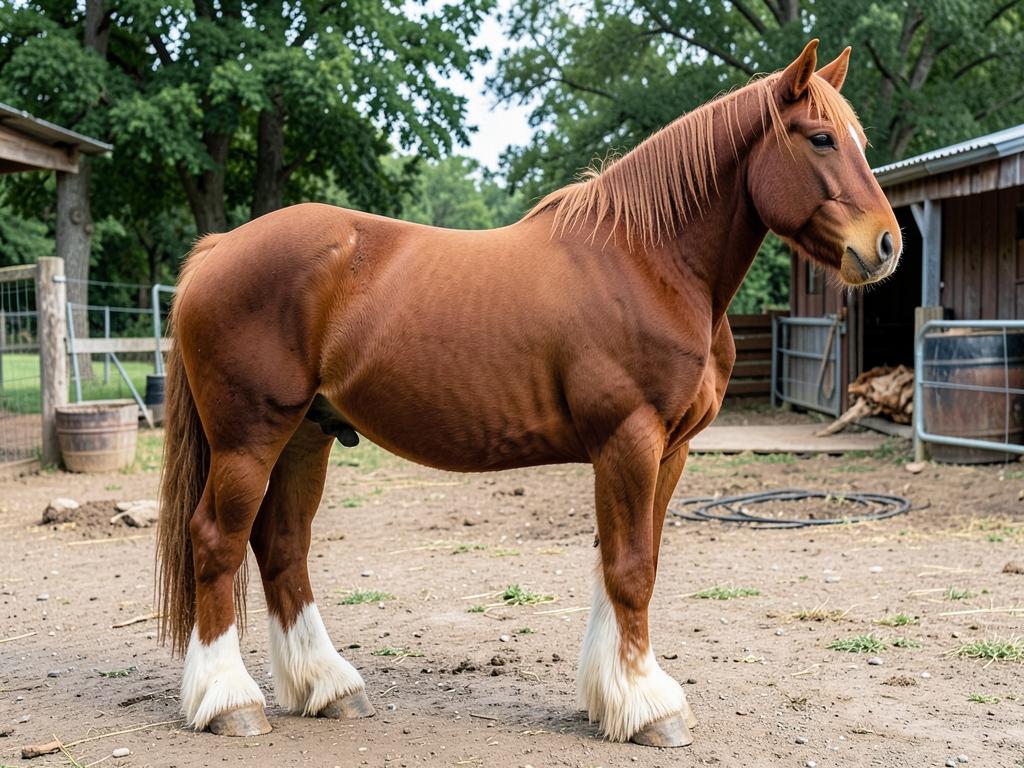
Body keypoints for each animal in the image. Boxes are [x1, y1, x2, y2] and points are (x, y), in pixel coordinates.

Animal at [156, 39, 901, 747]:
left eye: (857, 139)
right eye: (820, 138)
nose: (887, 245)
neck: (648, 262)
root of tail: (217, 249)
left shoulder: (668, 451)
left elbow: (622, 561)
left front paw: (613, 696)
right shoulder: (629, 438)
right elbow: (631, 568)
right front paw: (649, 708)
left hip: (307, 434)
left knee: (283, 546)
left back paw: (329, 688)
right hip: (250, 438)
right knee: (217, 541)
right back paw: (231, 703)